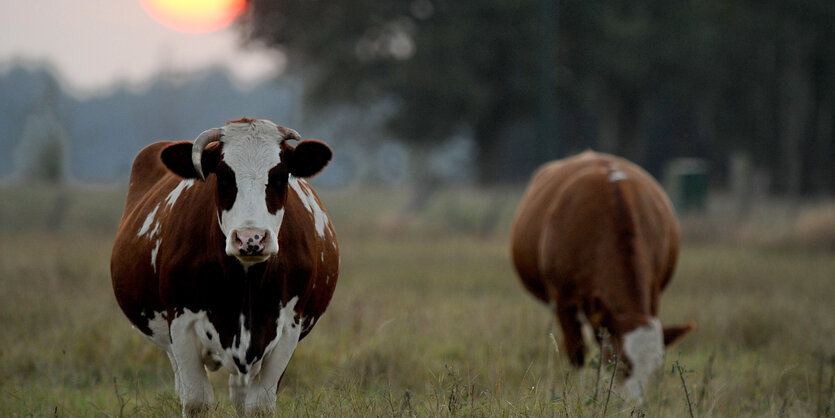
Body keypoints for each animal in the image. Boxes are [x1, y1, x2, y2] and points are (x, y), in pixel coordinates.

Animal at [111, 116, 340, 414]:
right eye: (224, 177)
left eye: (279, 176)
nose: (251, 238)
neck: (245, 283)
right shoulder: (181, 325)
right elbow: (196, 401)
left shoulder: (288, 328)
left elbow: (259, 405)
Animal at [512, 151, 696, 398]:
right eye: (619, 363)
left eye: (654, 369)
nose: (631, 404)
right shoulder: (563, 300)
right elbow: (577, 354)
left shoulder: (653, 293)